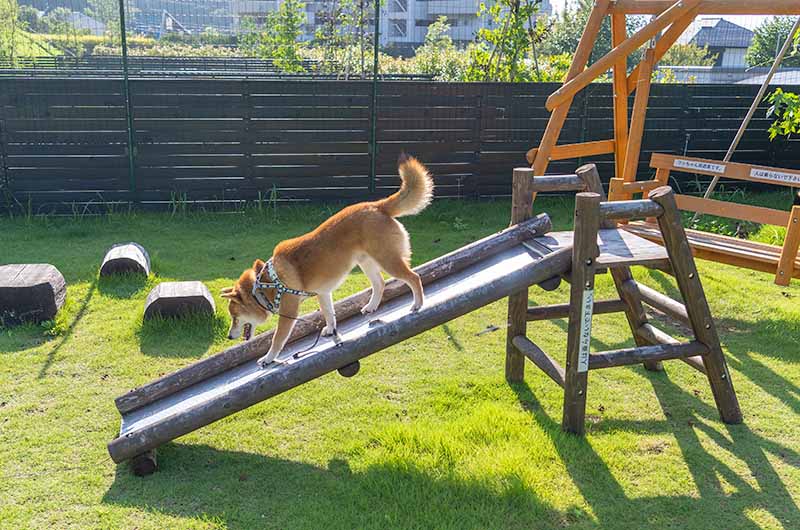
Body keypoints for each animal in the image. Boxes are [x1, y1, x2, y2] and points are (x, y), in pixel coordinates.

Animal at [219, 154, 434, 368]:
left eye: (234, 317)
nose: (229, 337)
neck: (266, 284)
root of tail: (377, 205)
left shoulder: (289, 312)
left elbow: (277, 339)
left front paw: (268, 358)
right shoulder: (323, 293)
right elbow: (329, 314)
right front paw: (331, 331)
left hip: (387, 260)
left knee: (413, 277)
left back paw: (417, 304)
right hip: (367, 262)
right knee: (380, 284)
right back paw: (372, 306)